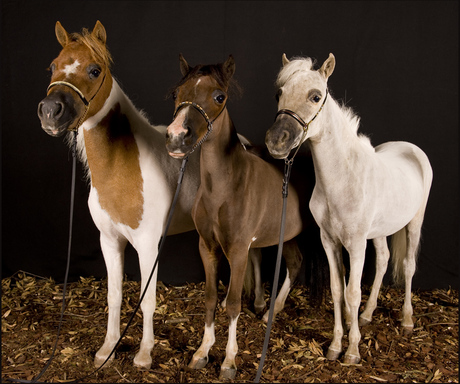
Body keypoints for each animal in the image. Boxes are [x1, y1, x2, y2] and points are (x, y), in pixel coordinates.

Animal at [36, 20, 201, 368]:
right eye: (53, 66)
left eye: (95, 69)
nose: (50, 111)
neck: (122, 168)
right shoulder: (109, 241)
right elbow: (114, 295)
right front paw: (107, 350)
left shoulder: (148, 245)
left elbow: (147, 299)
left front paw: (144, 354)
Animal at [164, 55, 306, 380]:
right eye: (176, 93)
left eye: (219, 96)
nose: (176, 137)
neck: (224, 187)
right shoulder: (208, 248)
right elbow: (210, 297)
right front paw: (202, 351)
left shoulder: (237, 251)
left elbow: (231, 303)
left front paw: (229, 360)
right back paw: (263, 304)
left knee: (296, 264)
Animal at [264, 53, 434, 364]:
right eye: (279, 94)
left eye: (316, 96)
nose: (276, 141)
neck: (343, 181)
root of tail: (411, 149)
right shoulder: (330, 241)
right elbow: (337, 291)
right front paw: (334, 345)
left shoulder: (355, 245)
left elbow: (353, 292)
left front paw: (353, 350)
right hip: (379, 231)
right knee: (383, 260)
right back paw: (367, 314)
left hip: (414, 222)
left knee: (408, 265)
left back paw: (406, 320)